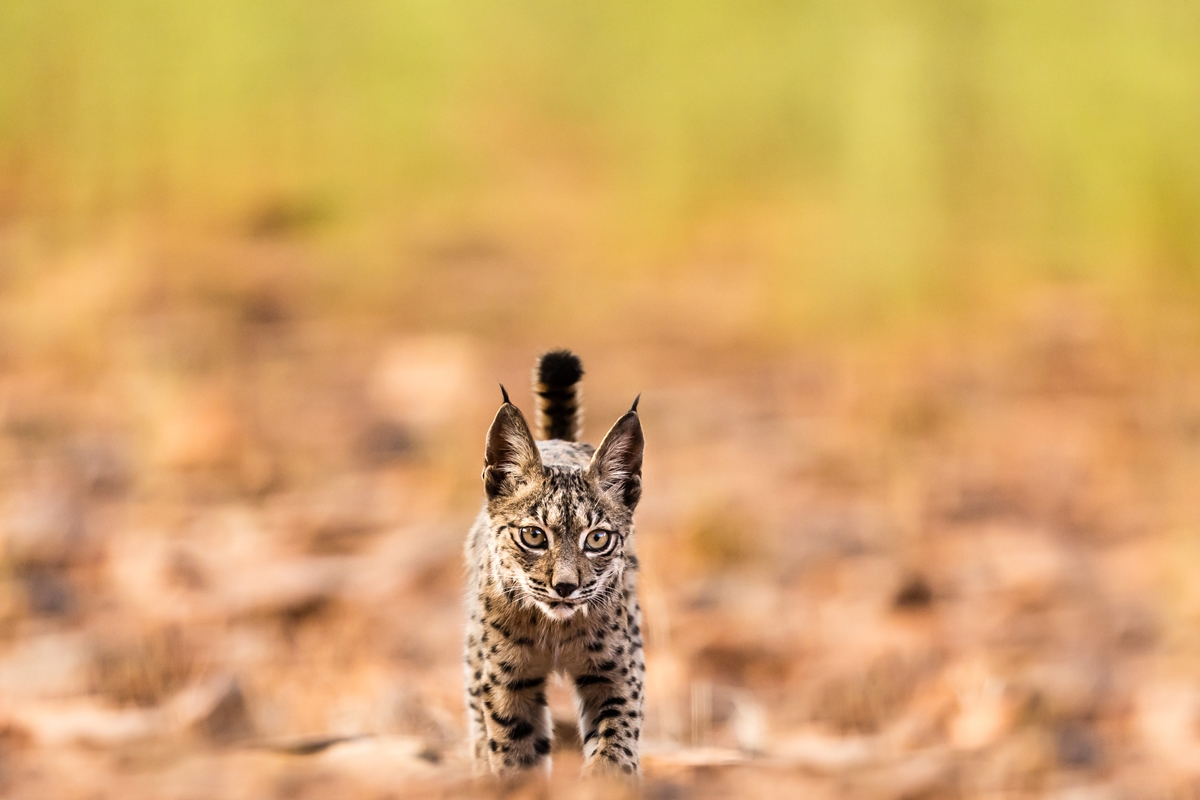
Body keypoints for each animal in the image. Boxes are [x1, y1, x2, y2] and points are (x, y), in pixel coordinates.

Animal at [460, 350, 648, 777]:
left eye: (597, 539)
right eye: (533, 536)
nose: (565, 587)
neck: (555, 630)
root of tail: (557, 441)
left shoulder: (616, 671)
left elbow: (615, 743)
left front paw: (607, 780)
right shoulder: (507, 680)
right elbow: (515, 751)